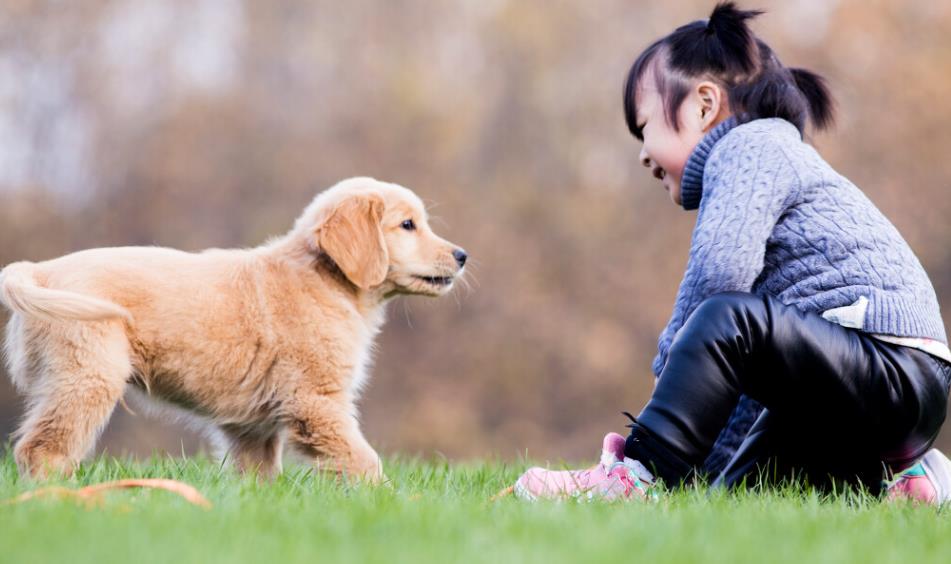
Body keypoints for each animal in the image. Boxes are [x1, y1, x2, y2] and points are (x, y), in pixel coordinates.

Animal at [0, 176, 468, 480]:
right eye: (407, 225)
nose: (462, 255)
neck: (324, 279)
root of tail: (40, 272)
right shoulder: (315, 402)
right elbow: (365, 462)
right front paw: (392, 501)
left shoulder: (252, 427)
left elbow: (258, 476)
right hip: (88, 376)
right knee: (40, 449)